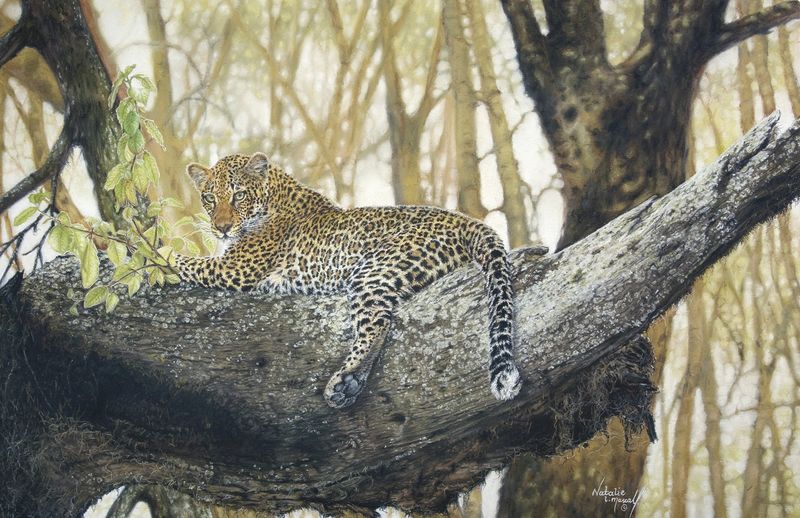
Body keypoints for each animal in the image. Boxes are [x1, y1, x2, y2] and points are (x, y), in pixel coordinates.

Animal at [173, 152, 522, 408]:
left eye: (239, 195)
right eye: (209, 198)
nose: (221, 228)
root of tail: (465, 220)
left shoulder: (236, 268)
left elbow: (184, 262)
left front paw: (159, 253)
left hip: (375, 270)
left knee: (378, 322)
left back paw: (345, 378)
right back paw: (350, 384)